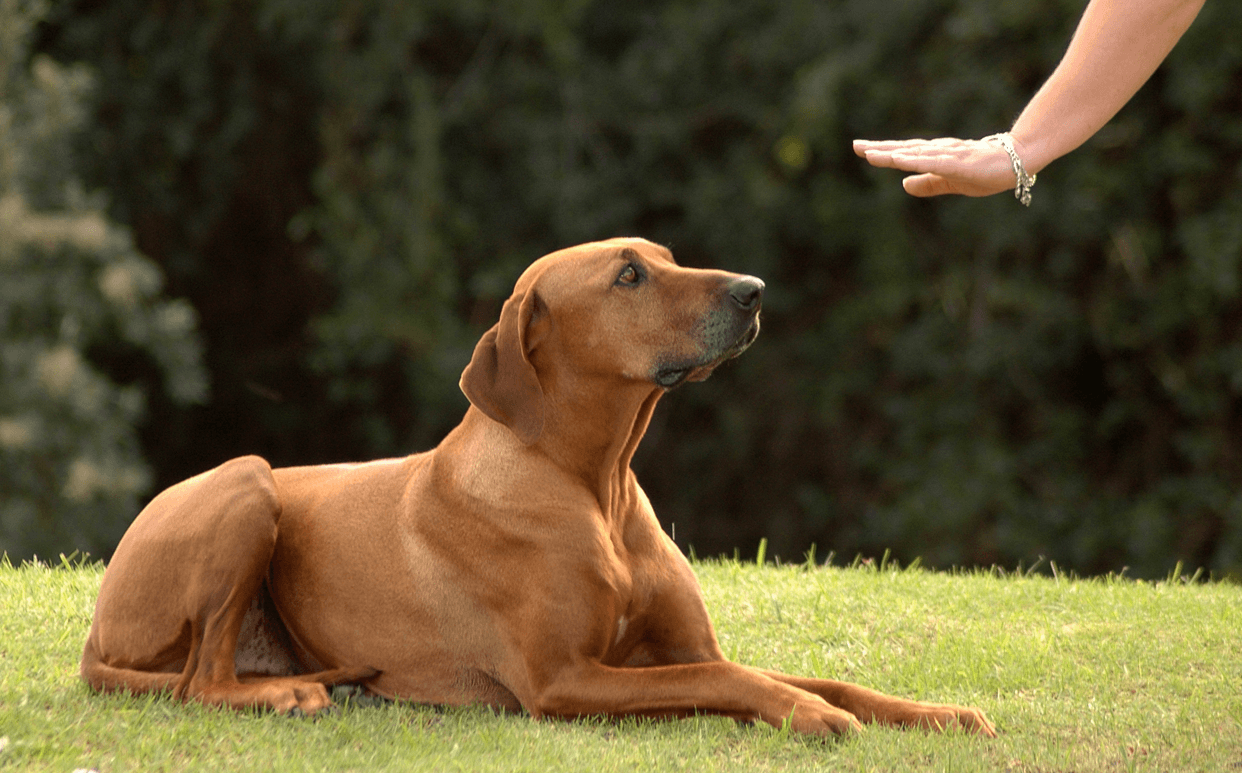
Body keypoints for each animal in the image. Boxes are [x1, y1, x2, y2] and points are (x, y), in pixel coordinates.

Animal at [77, 236, 993, 740]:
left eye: (666, 258)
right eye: (628, 276)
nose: (754, 290)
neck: (595, 485)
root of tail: (95, 630)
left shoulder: (686, 647)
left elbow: (817, 677)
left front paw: (936, 713)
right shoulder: (564, 679)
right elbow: (734, 682)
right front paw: (808, 716)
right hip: (247, 481)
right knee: (199, 681)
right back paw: (289, 692)